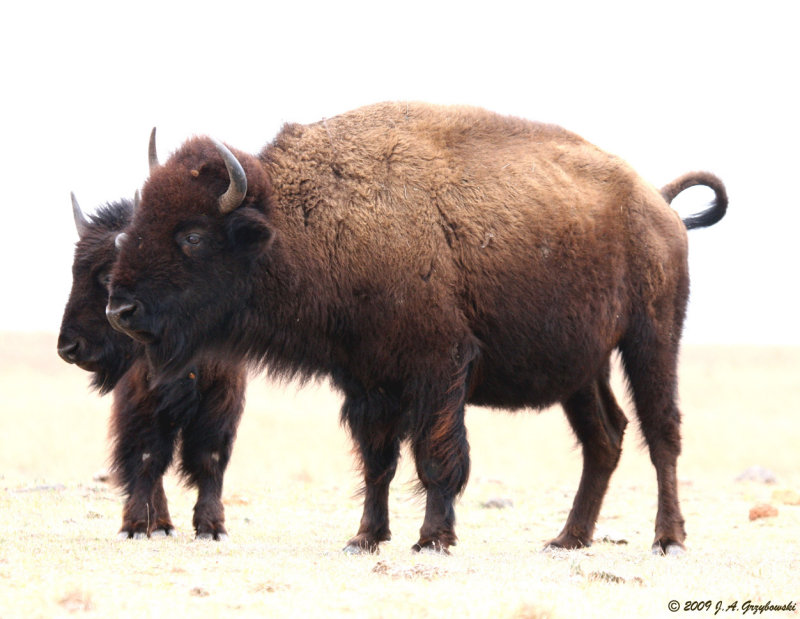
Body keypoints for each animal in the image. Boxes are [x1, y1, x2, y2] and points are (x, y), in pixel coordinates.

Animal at [58, 194, 247, 544]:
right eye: (75, 272)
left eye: (108, 276)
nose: (68, 348)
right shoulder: (142, 397)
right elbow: (147, 457)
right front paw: (135, 525)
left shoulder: (223, 395)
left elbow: (210, 458)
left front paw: (213, 528)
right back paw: (158, 524)